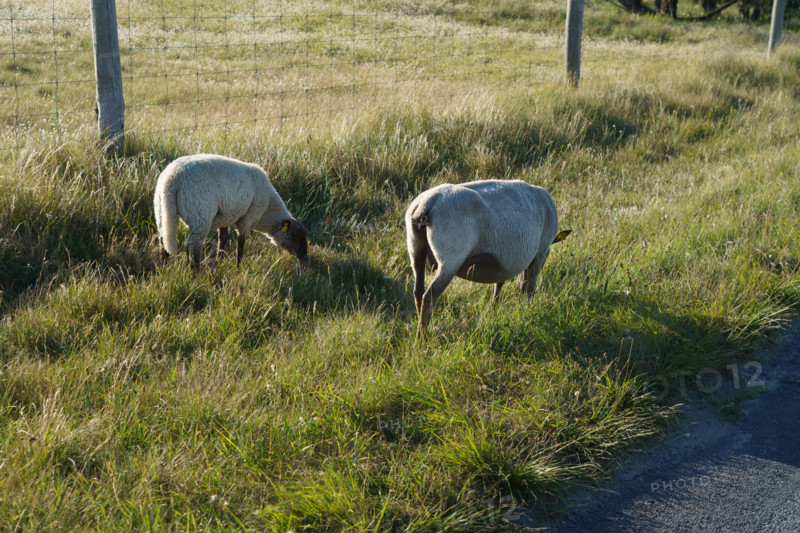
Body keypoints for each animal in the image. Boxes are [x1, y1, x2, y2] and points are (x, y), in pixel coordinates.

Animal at [154, 154, 307, 270]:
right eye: (297, 237)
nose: (305, 259)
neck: (267, 210)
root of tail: (172, 179)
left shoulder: (226, 217)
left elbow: (223, 239)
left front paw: (219, 261)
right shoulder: (247, 218)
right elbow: (241, 244)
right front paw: (239, 267)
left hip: (162, 211)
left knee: (163, 241)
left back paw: (165, 269)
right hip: (200, 215)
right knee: (193, 246)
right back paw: (195, 273)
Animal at [405, 179, 570, 338]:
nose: (518, 288)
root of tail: (427, 203)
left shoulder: (504, 263)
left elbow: (499, 286)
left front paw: (494, 310)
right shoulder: (540, 251)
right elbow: (530, 288)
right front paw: (529, 311)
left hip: (416, 250)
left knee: (418, 292)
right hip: (450, 259)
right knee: (429, 297)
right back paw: (423, 338)